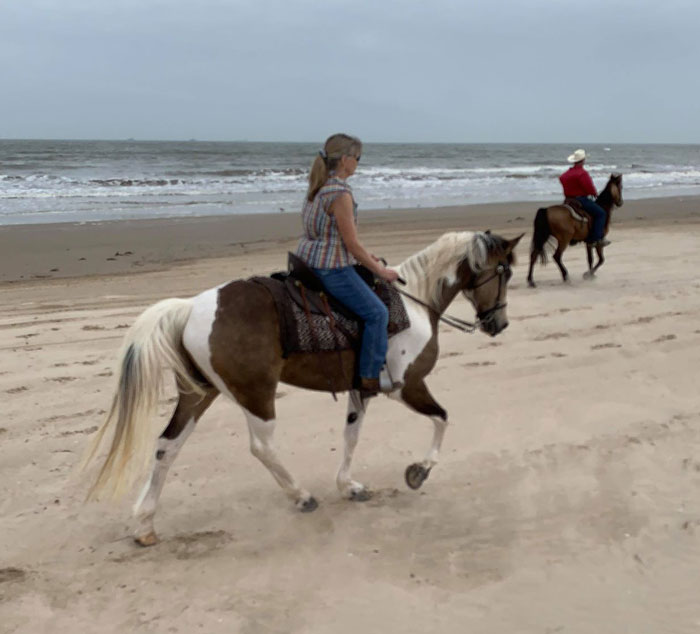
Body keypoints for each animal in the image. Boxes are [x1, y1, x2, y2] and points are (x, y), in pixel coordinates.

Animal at [85, 230, 524, 544]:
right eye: (504, 272)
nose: (499, 323)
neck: (414, 302)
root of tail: (191, 307)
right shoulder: (406, 386)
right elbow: (443, 419)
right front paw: (418, 471)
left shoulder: (361, 390)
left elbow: (351, 436)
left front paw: (348, 486)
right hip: (256, 395)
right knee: (261, 447)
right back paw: (301, 495)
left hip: (198, 394)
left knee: (167, 446)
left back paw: (145, 524)